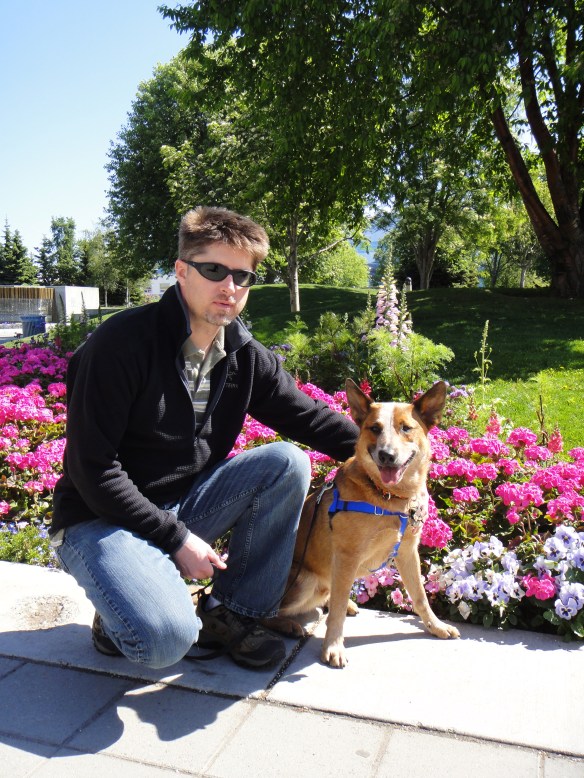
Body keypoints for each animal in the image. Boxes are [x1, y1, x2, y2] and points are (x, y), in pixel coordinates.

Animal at [269, 378, 460, 667]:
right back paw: (287, 624)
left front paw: (435, 626)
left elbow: (420, 597)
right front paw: (333, 646)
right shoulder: (347, 556)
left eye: (406, 428)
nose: (387, 455)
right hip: (305, 581)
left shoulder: (408, 552)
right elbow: (335, 614)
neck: (390, 497)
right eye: (375, 428)